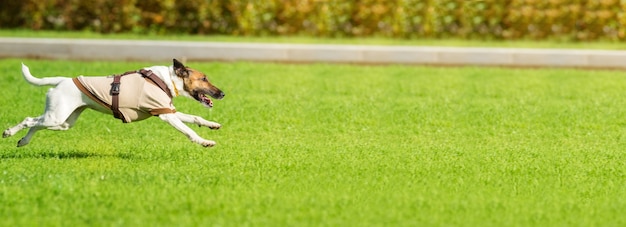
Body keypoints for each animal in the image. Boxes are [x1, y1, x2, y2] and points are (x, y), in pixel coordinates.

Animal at [0, 58, 222, 147]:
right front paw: (205, 142)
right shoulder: (166, 115)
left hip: (62, 121)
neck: (167, 79)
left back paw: (23, 141)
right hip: (56, 117)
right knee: (29, 120)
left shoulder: (168, 110)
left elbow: (196, 117)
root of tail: (63, 80)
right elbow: (189, 131)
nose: (223, 93)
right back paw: (9, 132)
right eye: (204, 79)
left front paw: (212, 124)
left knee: (36, 123)